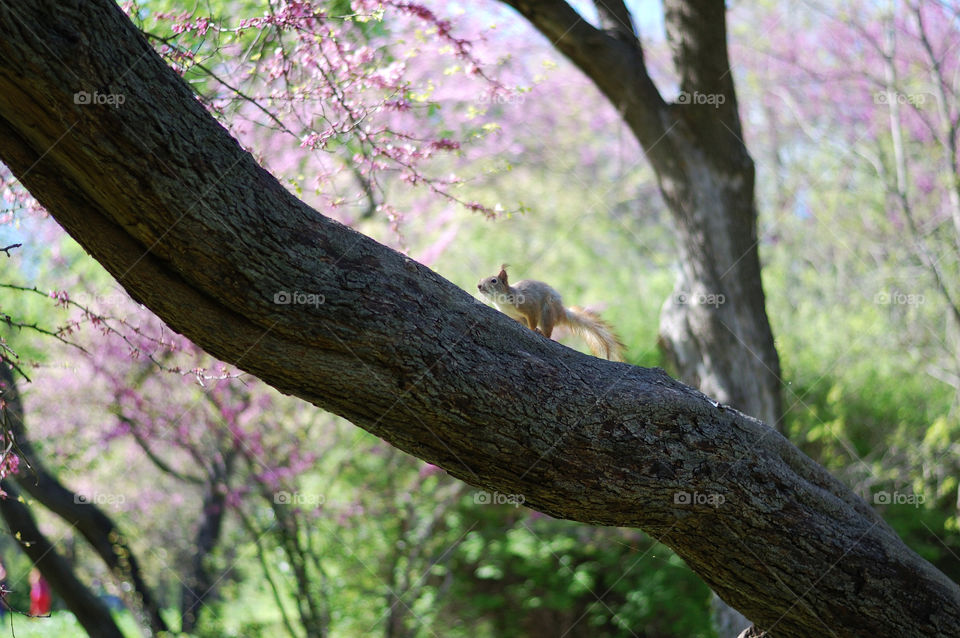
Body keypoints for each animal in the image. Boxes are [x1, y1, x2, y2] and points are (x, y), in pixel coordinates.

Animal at [478, 264, 628, 362]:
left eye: (493, 280)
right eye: (481, 280)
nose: (478, 286)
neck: (502, 302)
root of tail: (561, 313)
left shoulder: (528, 305)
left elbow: (532, 318)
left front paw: (532, 330)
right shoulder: (513, 315)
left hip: (547, 313)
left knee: (548, 332)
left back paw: (542, 333)